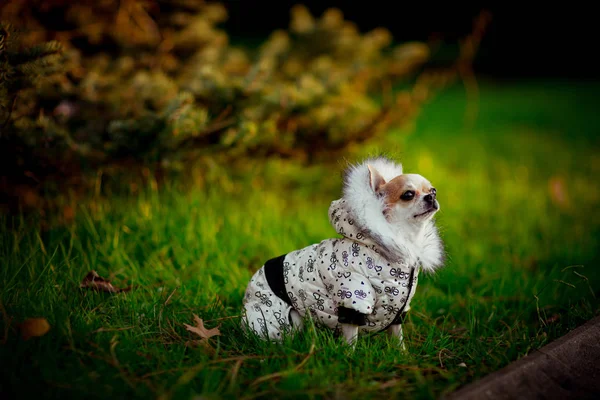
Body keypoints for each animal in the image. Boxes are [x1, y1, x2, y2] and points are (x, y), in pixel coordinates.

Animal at [240, 156, 446, 346]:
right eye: (408, 194)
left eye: (433, 190)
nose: (431, 196)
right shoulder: (354, 297)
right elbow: (351, 338)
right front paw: (349, 355)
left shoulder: (398, 310)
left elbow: (397, 336)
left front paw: (400, 353)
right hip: (278, 318)